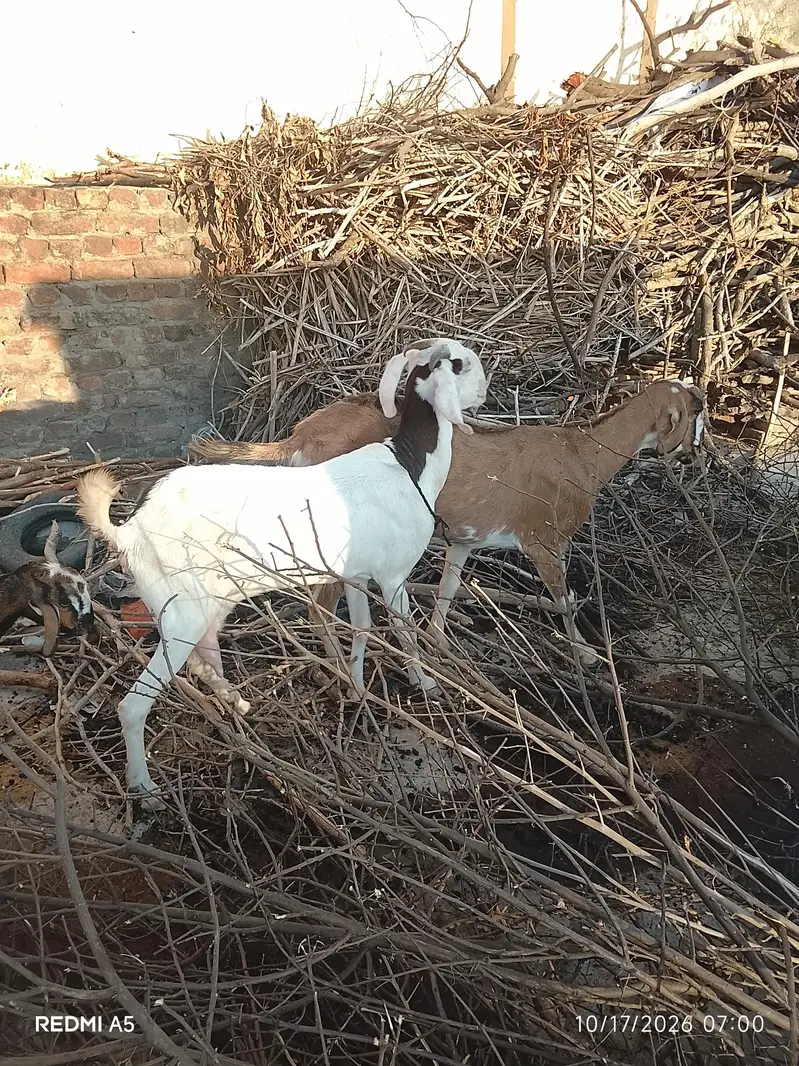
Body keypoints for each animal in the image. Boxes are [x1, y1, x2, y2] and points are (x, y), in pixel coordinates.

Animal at [76, 339, 487, 801]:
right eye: (463, 364)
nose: (484, 392)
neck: (409, 464)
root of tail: (129, 531)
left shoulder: (357, 575)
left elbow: (362, 628)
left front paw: (356, 688)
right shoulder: (394, 576)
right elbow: (406, 633)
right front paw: (428, 685)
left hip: (208, 600)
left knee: (204, 658)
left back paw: (238, 706)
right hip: (180, 610)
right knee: (134, 705)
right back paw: (145, 788)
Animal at [191, 379, 706, 665]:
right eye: (695, 415)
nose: (696, 455)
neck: (586, 456)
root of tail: (300, 436)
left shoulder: (464, 538)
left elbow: (449, 587)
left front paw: (437, 638)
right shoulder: (545, 540)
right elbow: (564, 599)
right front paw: (585, 653)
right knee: (319, 605)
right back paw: (339, 670)